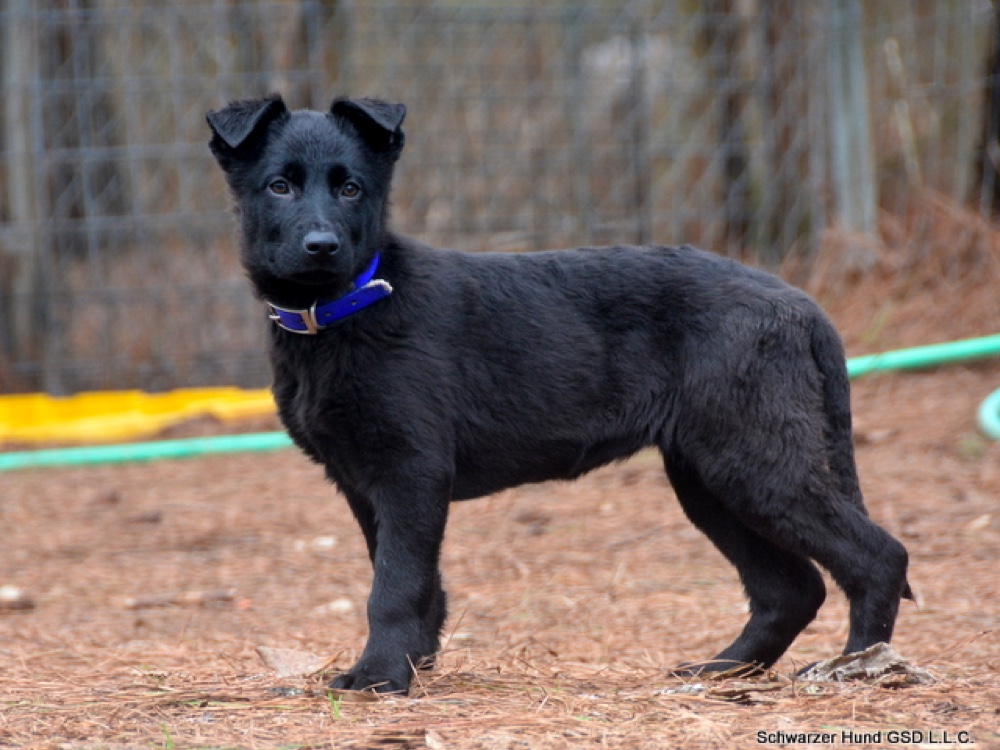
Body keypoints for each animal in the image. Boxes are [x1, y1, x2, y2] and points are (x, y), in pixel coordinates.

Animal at [207, 97, 912, 696]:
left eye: (351, 187)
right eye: (279, 186)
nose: (321, 246)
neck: (344, 309)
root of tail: (800, 305)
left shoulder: (410, 472)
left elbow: (395, 584)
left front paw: (381, 676)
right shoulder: (364, 483)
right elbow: (419, 581)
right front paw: (417, 665)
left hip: (755, 462)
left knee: (878, 555)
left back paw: (862, 667)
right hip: (709, 478)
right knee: (791, 588)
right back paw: (722, 670)